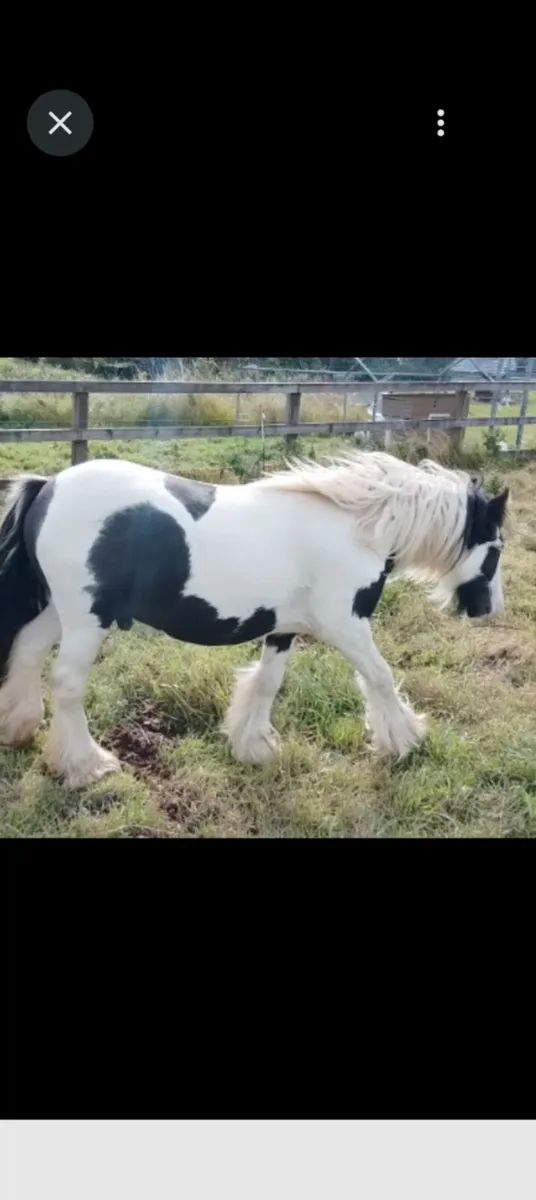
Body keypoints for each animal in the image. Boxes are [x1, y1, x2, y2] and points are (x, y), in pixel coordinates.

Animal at [0, 452, 508, 789]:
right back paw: (85, 765)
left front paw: (253, 747)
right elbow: (380, 677)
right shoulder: (346, 625)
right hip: (86, 618)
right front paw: (404, 741)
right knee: (67, 684)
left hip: (58, 610)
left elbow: (266, 684)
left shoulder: (283, 629)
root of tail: (48, 485)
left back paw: (19, 730)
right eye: (497, 548)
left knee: (26, 653)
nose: (490, 609)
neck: (358, 528)